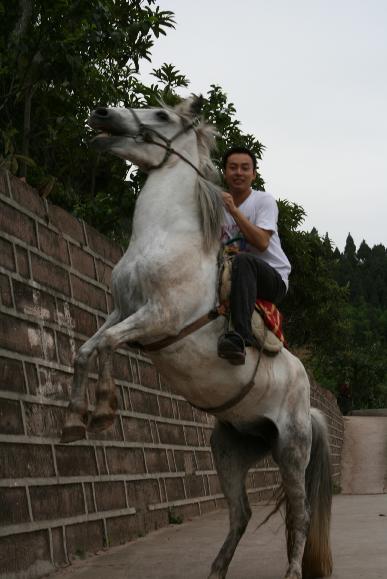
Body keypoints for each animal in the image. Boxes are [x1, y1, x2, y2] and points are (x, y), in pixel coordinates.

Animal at [61, 97, 334, 576]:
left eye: (162, 116)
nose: (102, 114)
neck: (165, 240)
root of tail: (308, 401)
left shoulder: (158, 318)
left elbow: (108, 346)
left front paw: (103, 410)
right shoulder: (120, 311)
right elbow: (86, 349)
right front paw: (75, 420)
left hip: (291, 448)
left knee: (298, 514)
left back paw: (292, 571)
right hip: (229, 448)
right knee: (241, 513)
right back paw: (216, 569)